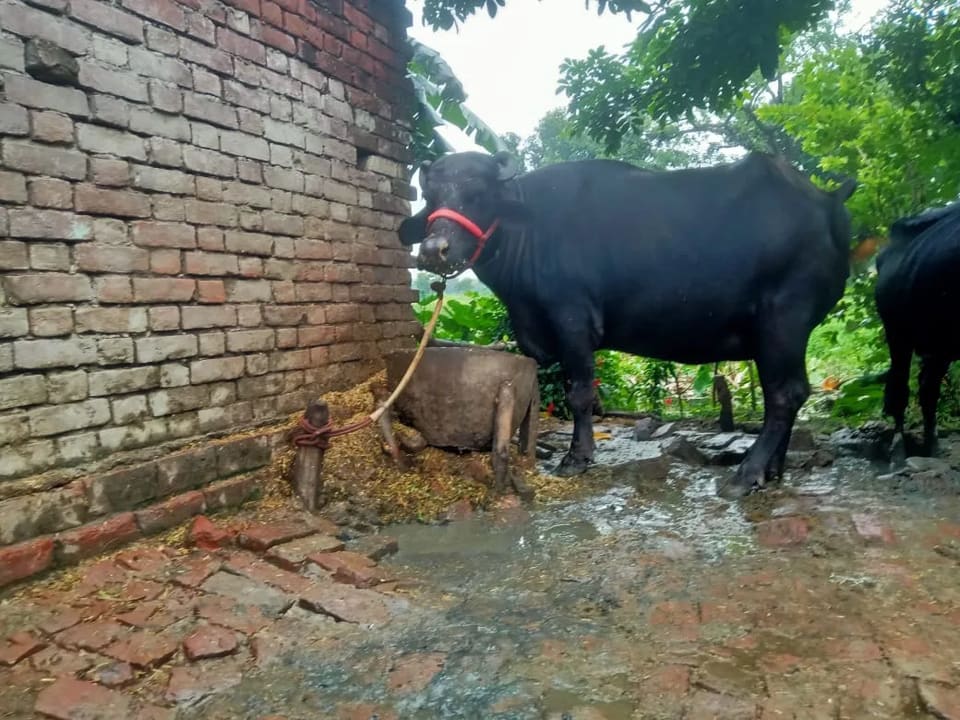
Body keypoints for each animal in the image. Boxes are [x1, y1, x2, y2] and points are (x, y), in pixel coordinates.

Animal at [400, 151, 857, 498]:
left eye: (478, 195)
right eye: (431, 196)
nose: (435, 250)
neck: (528, 232)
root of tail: (826, 201)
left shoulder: (572, 321)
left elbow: (580, 394)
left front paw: (577, 457)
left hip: (784, 319)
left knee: (784, 395)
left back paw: (747, 474)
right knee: (791, 393)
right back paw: (773, 469)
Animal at [876, 199, 960, 458]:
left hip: (940, 343)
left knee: (926, 386)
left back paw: (931, 444)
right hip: (897, 334)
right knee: (902, 387)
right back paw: (899, 447)